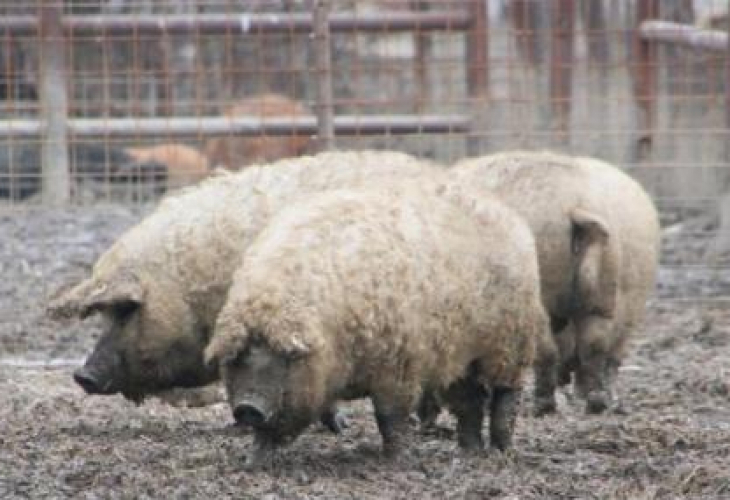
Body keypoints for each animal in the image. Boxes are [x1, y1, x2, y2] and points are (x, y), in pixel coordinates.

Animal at [205, 180, 544, 464]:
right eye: (236, 358)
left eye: (285, 357)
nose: (247, 407)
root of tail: (509, 215)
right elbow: (274, 428)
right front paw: (253, 463)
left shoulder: (399, 364)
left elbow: (389, 416)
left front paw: (395, 461)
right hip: (461, 355)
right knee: (470, 401)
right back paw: (470, 453)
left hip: (511, 340)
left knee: (506, 394)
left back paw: (502, 452)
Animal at [450, 151, 660, 414]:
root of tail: (577, 207)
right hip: (607, 286)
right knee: (595, 343)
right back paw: (596, 402)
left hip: (541, 293)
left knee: (548, 350)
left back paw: (542, 406)